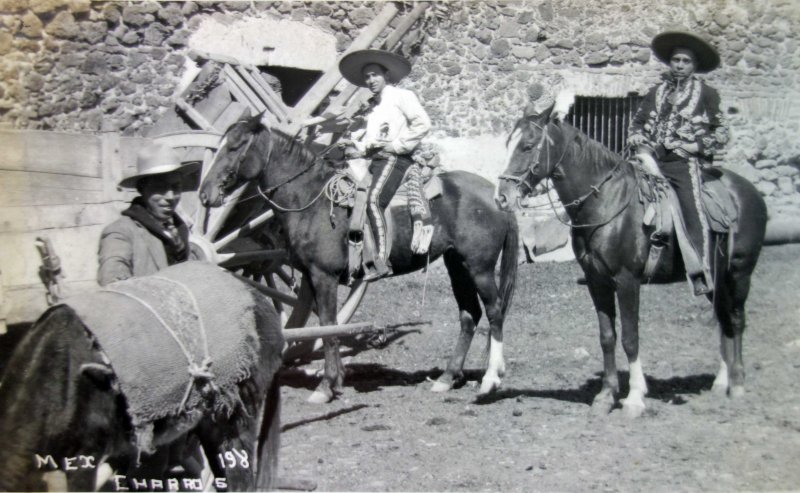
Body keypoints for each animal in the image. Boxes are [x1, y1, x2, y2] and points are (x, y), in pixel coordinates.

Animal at [197, 114, 516, 404]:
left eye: (235, 147)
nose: (204, 194)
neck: (311, 199)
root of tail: (494, 193)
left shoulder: (323, 276)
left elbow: (328, 324)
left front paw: (326, 386)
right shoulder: (311, 278)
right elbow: (328, 325)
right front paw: (335, 379)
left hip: (479, 267)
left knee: (494, 312)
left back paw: (490, 380)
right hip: (457, 265)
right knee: (469, 314)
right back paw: (447, 378)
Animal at [494, 102, 768, 418]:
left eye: (527, 146)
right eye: (508, 144)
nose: (502, 197)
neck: (606, 202)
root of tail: (750, 192)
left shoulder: (627, 281)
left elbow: (630, 337)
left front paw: (635, 397)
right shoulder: (597, 281)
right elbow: (607, 336)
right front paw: (606, 395)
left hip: (739, 273)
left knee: (735, 319)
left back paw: (737, 385)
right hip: (717, 278)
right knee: (723, 318)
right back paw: (721, 382)